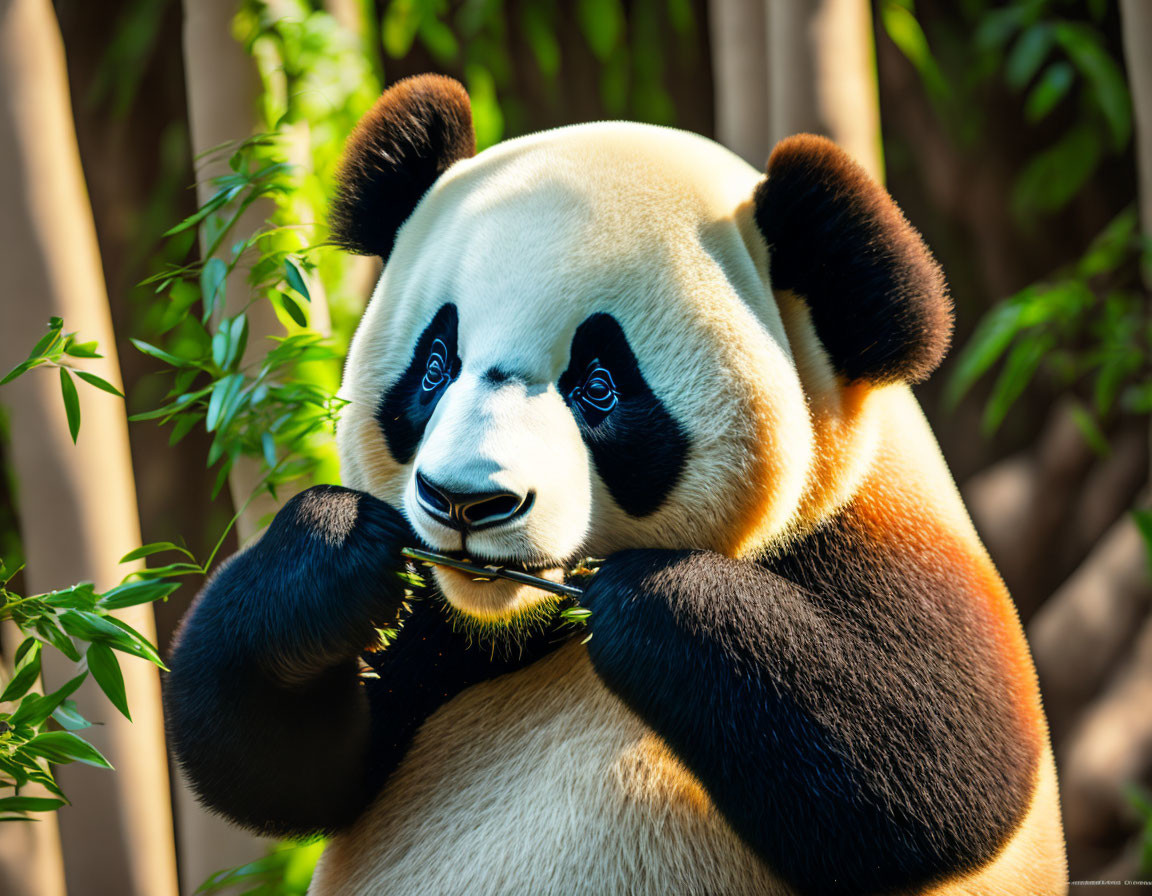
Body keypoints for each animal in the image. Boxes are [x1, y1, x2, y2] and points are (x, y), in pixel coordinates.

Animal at [164, 73, 1069, 889]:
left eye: (598, 386)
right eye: (435, 365)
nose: (464, 501)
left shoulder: (886, 554)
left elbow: (935, 772)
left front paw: (643, 599)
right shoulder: (448, 630)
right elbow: (288, 766)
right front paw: (339, 555)